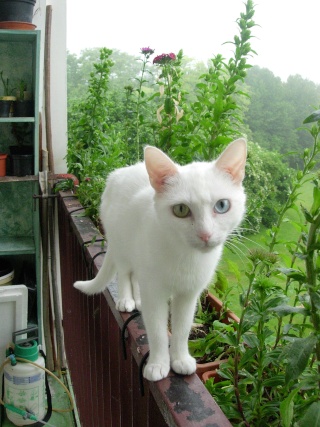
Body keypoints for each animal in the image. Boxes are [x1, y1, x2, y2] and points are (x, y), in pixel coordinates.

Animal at [74, 139, 246, 382]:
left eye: (222, 205)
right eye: (181, 209)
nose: (205, 234)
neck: (186, 256)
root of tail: (122, 171)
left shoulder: (188, 295)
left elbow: (181, 329)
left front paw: (180, 359)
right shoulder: (154, 292)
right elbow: (156, 331)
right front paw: (158, 364)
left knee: (136, 278)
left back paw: (137, 299)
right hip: (121, 244)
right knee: (124, 273)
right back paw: (127, 299)